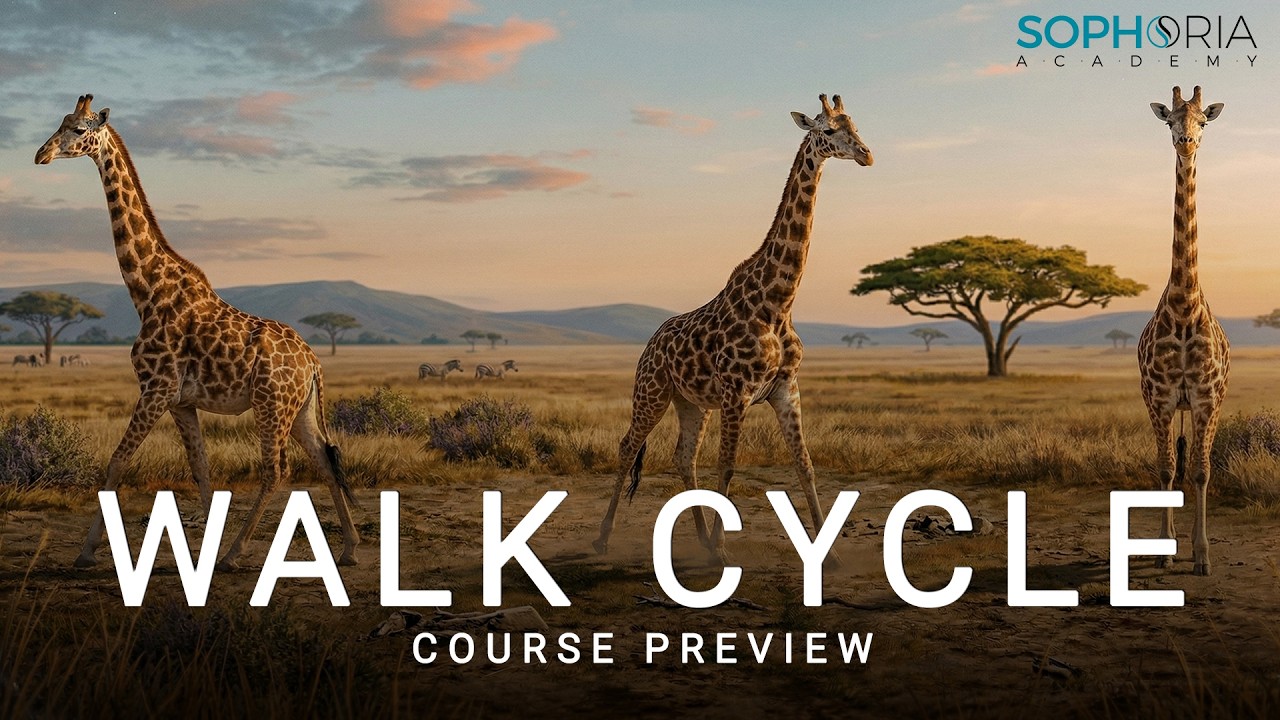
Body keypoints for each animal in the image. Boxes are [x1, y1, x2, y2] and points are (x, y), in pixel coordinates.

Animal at [36, 95, 361, 571]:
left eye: (78, 130)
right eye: (60, 123)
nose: (40, 155)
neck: (147, 291)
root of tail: (314, 362)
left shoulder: (155, 389)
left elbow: (117, 463)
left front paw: (86, 552)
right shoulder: (180, 401)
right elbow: (201, 471)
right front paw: (204, 550)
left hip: (270, 404)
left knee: (277, 470)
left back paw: (237, 553)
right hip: (298, 409)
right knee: (324, 458)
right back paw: (350, 547)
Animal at [594, 94, 872, 564]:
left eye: (856, 126)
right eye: (827, 130)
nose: (867, 155)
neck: (778, 303)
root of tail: (650, 342)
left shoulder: (786, 389)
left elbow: (805, 466)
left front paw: (828, 556)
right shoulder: (737, 392)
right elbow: (727, 466)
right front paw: (723, 550)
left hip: (692, 402)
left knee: (683, 457)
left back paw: (702, 538)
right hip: (652, 391)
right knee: (628, 446)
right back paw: (604, 536)